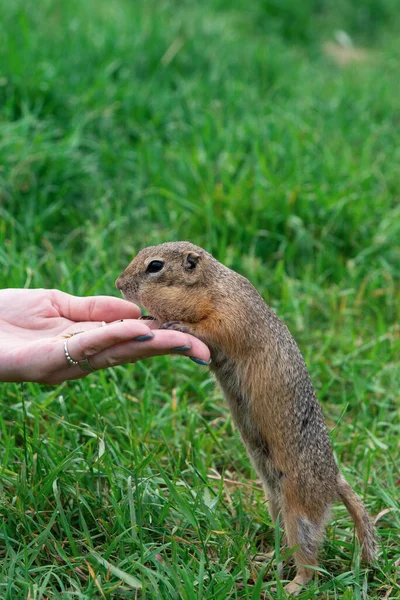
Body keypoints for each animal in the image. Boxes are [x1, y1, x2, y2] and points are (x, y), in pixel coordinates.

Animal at [115, 240, 376, 596]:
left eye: (155, 266)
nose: (118, 284)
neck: (212, 287)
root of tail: (334, 479)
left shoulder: (230, 315)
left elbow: (211, 330)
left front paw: (178, 325)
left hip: (299, 508)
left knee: (310, 559)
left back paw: (292, 586)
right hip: (276, 500)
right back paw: (266, 560)